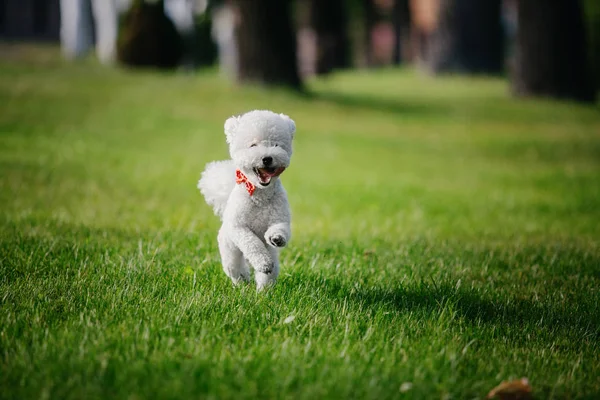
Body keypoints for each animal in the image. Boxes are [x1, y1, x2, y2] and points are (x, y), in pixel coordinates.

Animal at [199, 109, 296, 290]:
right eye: (253, 145)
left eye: (276, 145)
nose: (267, 158)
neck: (260, 195)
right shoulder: (238, 227)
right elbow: (253, 243)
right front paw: (262, 262)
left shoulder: (280, 218)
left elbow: (280, 228)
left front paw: (276, 238)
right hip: (230, 251)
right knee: (236, 269)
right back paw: (243, 282)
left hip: (272, 259)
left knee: (269, 274)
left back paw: (263, 291)